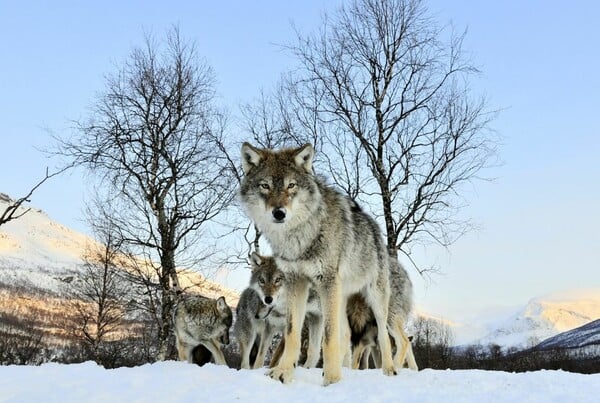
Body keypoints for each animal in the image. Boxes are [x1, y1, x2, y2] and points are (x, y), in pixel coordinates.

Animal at [239, 142, 398, 386]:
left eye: (291, 185)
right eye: (265, 186)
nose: (279, 213)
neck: (299, 237)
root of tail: (374, 225)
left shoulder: (326, 282)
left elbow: (329, 338)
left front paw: (332, 380)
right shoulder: (296, 282)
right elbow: (293, 334)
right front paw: (282, 373)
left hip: (374, 298)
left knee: (382, 335)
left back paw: (389, 369)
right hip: (339, 298)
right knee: (346, 335)